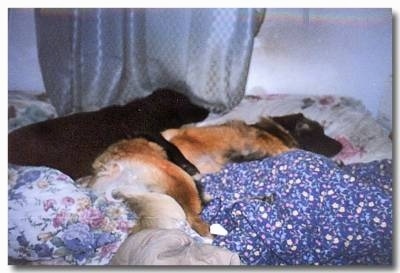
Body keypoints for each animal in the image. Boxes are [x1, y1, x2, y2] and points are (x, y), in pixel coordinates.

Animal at [8, 88, 209, 180]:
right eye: (188, 103)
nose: (208, 109)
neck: (140, 110)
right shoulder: (144, 129)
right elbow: (170, 146)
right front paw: (190, 168)